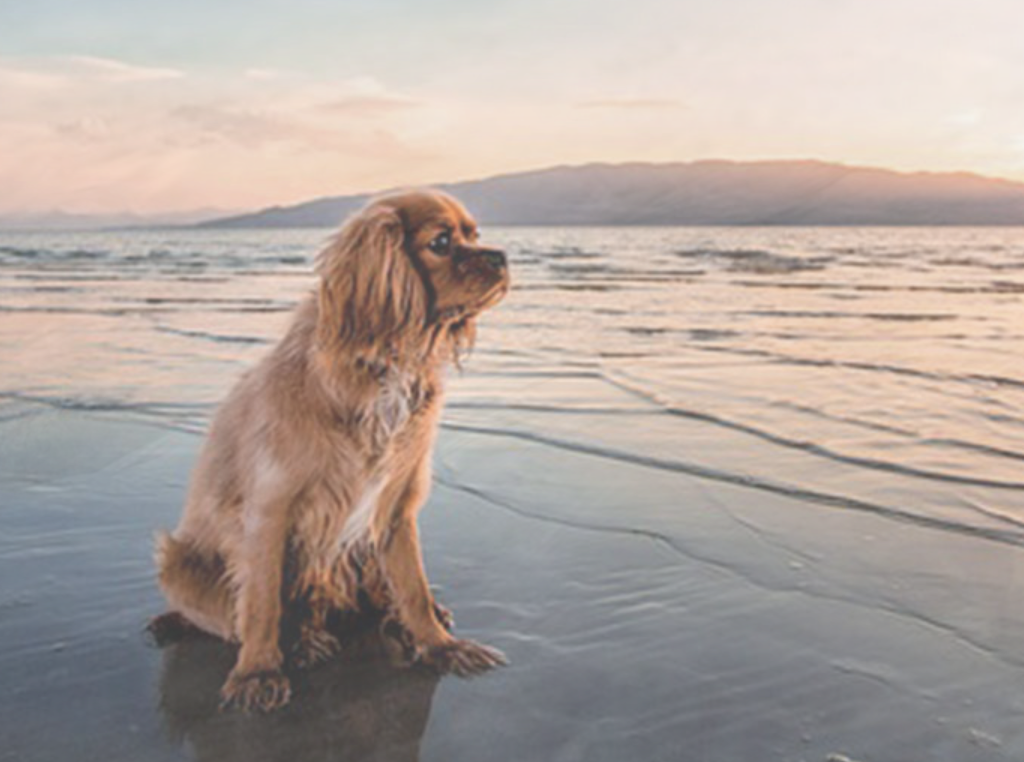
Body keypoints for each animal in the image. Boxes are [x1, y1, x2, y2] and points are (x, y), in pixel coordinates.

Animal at [152, 187, 512, 712]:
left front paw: (439, 645)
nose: (502, 256)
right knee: (250, 617)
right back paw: (301, 643)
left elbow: (412, 585)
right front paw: (258, 672)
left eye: (475, 235)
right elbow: (261, 601)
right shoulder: (269, 510)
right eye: (442, 242)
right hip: (177, 561)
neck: (387, 366)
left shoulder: (395, 508)